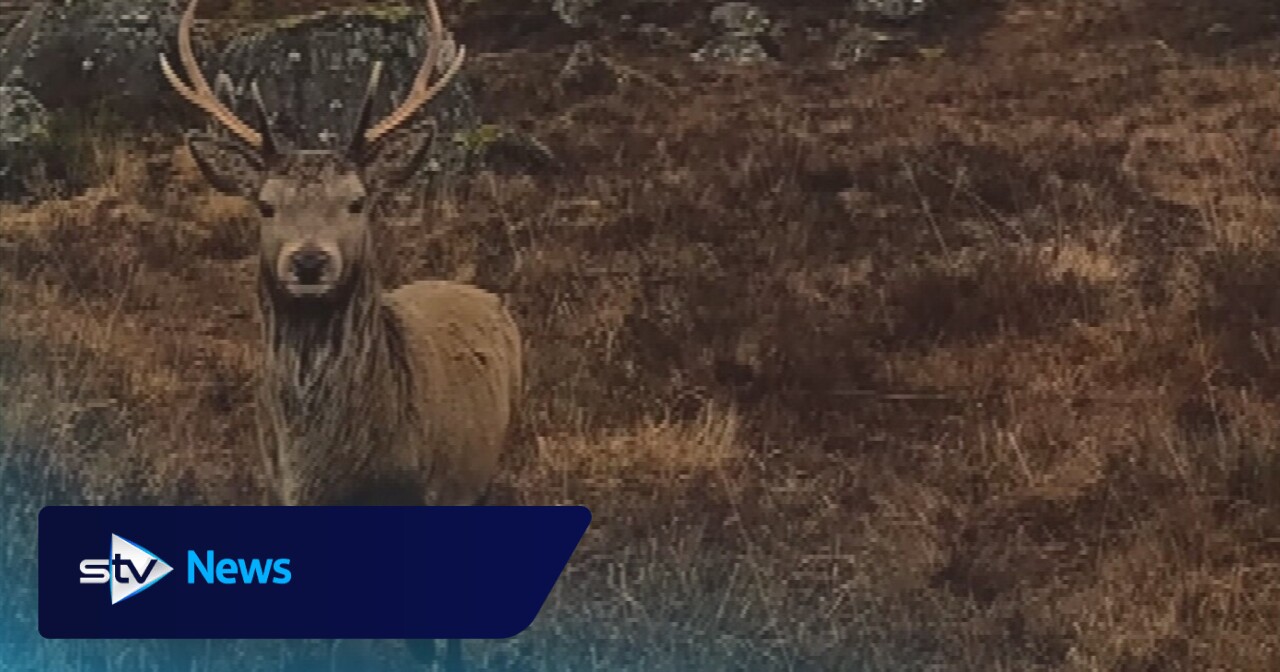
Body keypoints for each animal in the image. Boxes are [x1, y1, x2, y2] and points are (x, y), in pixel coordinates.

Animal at [158, 1, 522, 670]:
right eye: (265, 204)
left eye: (357, 201)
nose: (308, 261)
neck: (328, 464)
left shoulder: (424, 499)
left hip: (480, 479)